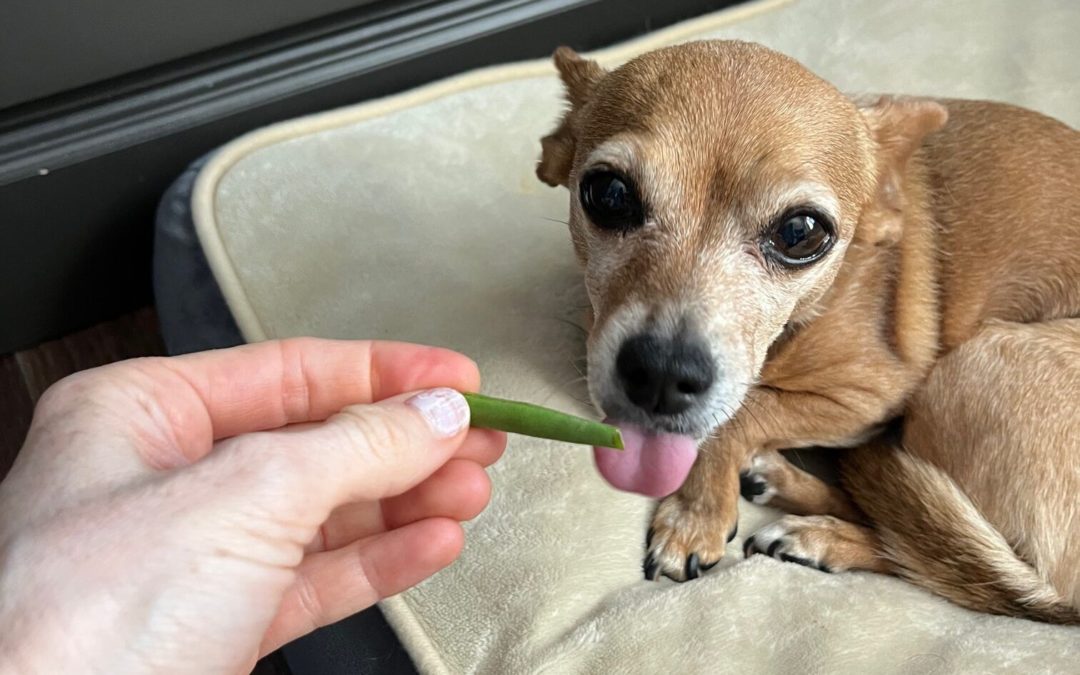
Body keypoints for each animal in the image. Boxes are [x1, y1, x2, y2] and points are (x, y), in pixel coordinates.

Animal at [533, 40, 1080, 622]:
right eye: (609, 194)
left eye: (800, 233)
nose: (660, 373)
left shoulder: (870, 397)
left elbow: (744, 410)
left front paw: (693, 514)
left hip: (969, 368)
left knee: (938, 555)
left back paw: (818, 532)